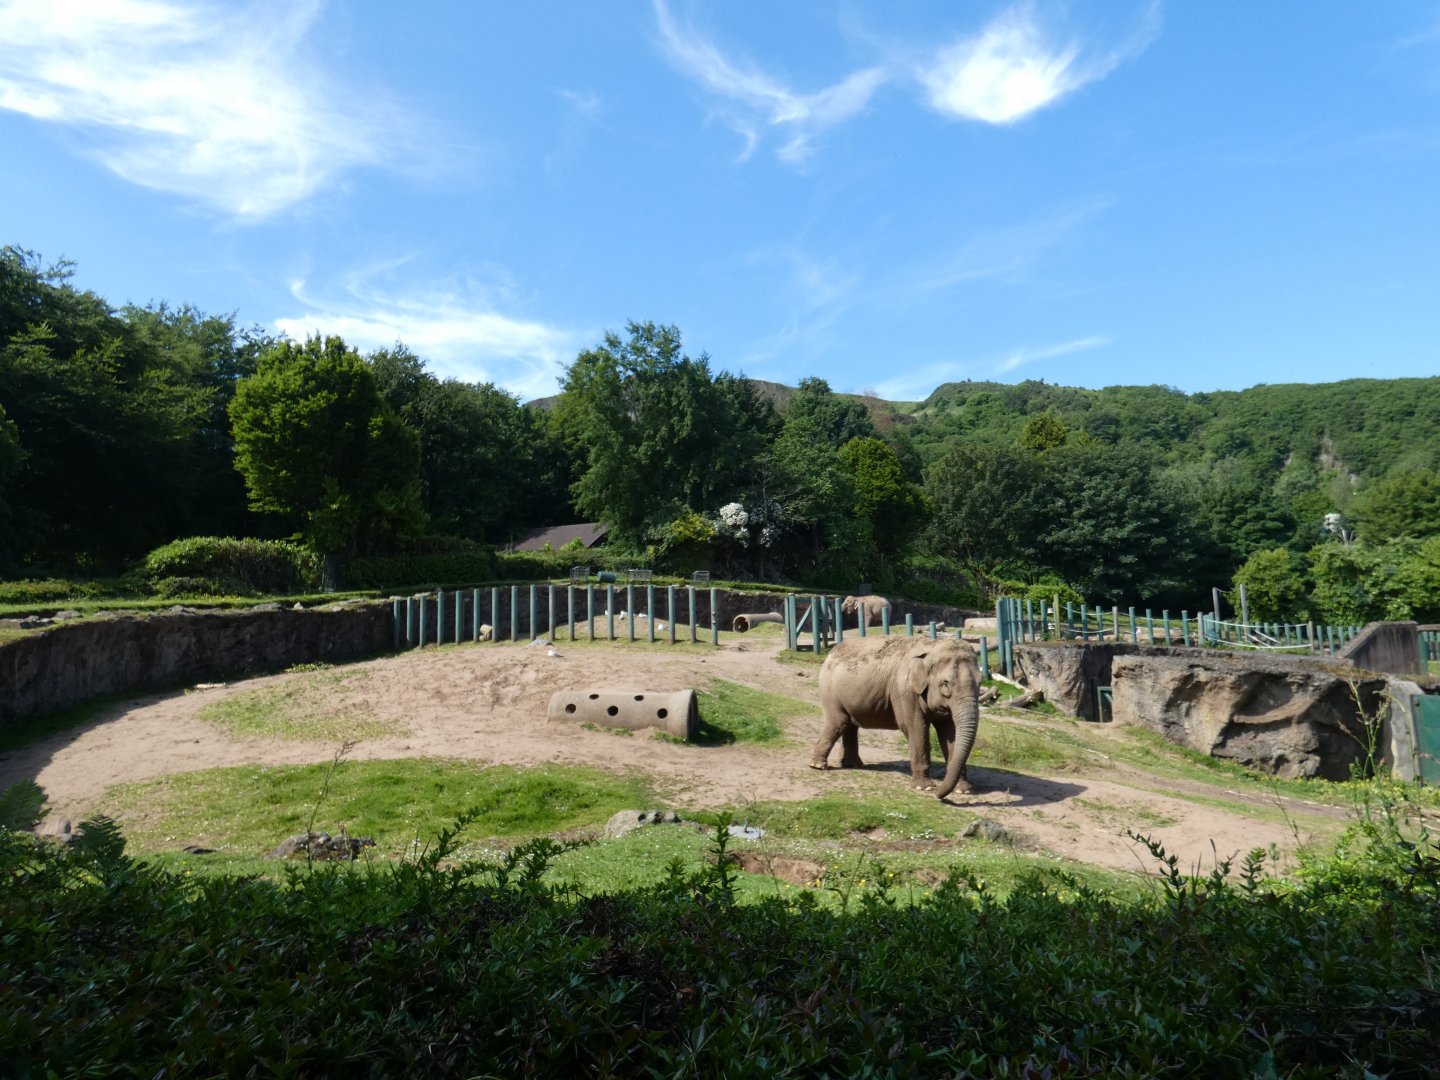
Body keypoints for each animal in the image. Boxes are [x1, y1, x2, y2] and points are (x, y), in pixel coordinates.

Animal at [809, 636, 981, 799]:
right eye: (945, 684)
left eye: (980, 682)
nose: (938, 795)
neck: (932, 647)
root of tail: (831, 653)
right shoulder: (905, 691)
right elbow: (915, 728)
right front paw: (924, 788)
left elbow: (950, 733)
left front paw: (963, 790)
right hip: (830, 692)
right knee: (839, 723)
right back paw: (818, 766)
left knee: (850, 725)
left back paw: (853, 765)